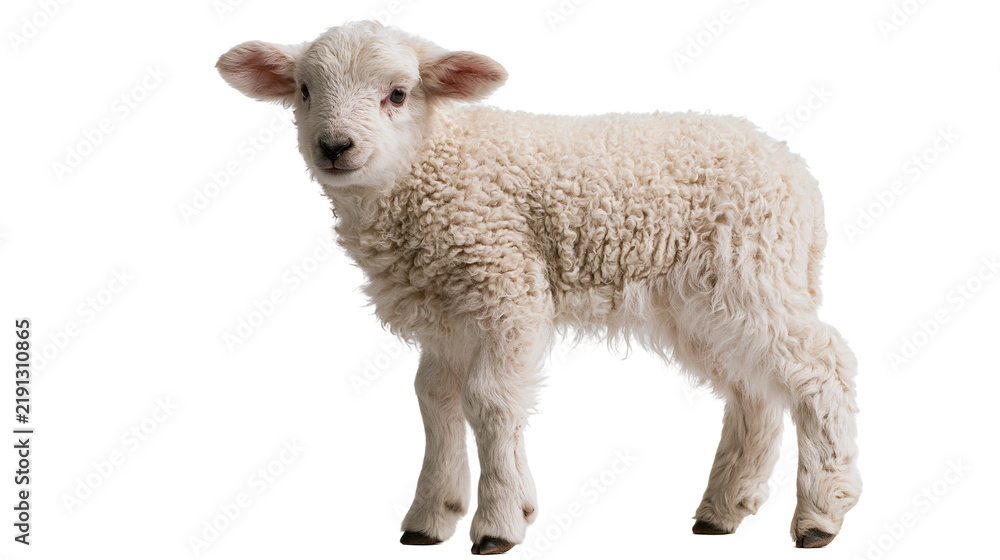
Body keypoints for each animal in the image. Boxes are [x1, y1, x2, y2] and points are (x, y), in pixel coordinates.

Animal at [217, 20, 861, 554]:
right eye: (304, 91)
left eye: (398, 94)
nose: (334, 147)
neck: (432, 163)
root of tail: (799, 176)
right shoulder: (446, 312)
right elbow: (433, 398)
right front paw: (433, 514)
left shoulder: (506, 286)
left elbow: (488, 400)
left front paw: (498, 522)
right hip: (703, 302)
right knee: (753, 390)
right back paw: (723, 509)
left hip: (754, 271)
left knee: (821, 366)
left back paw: (820, 514)